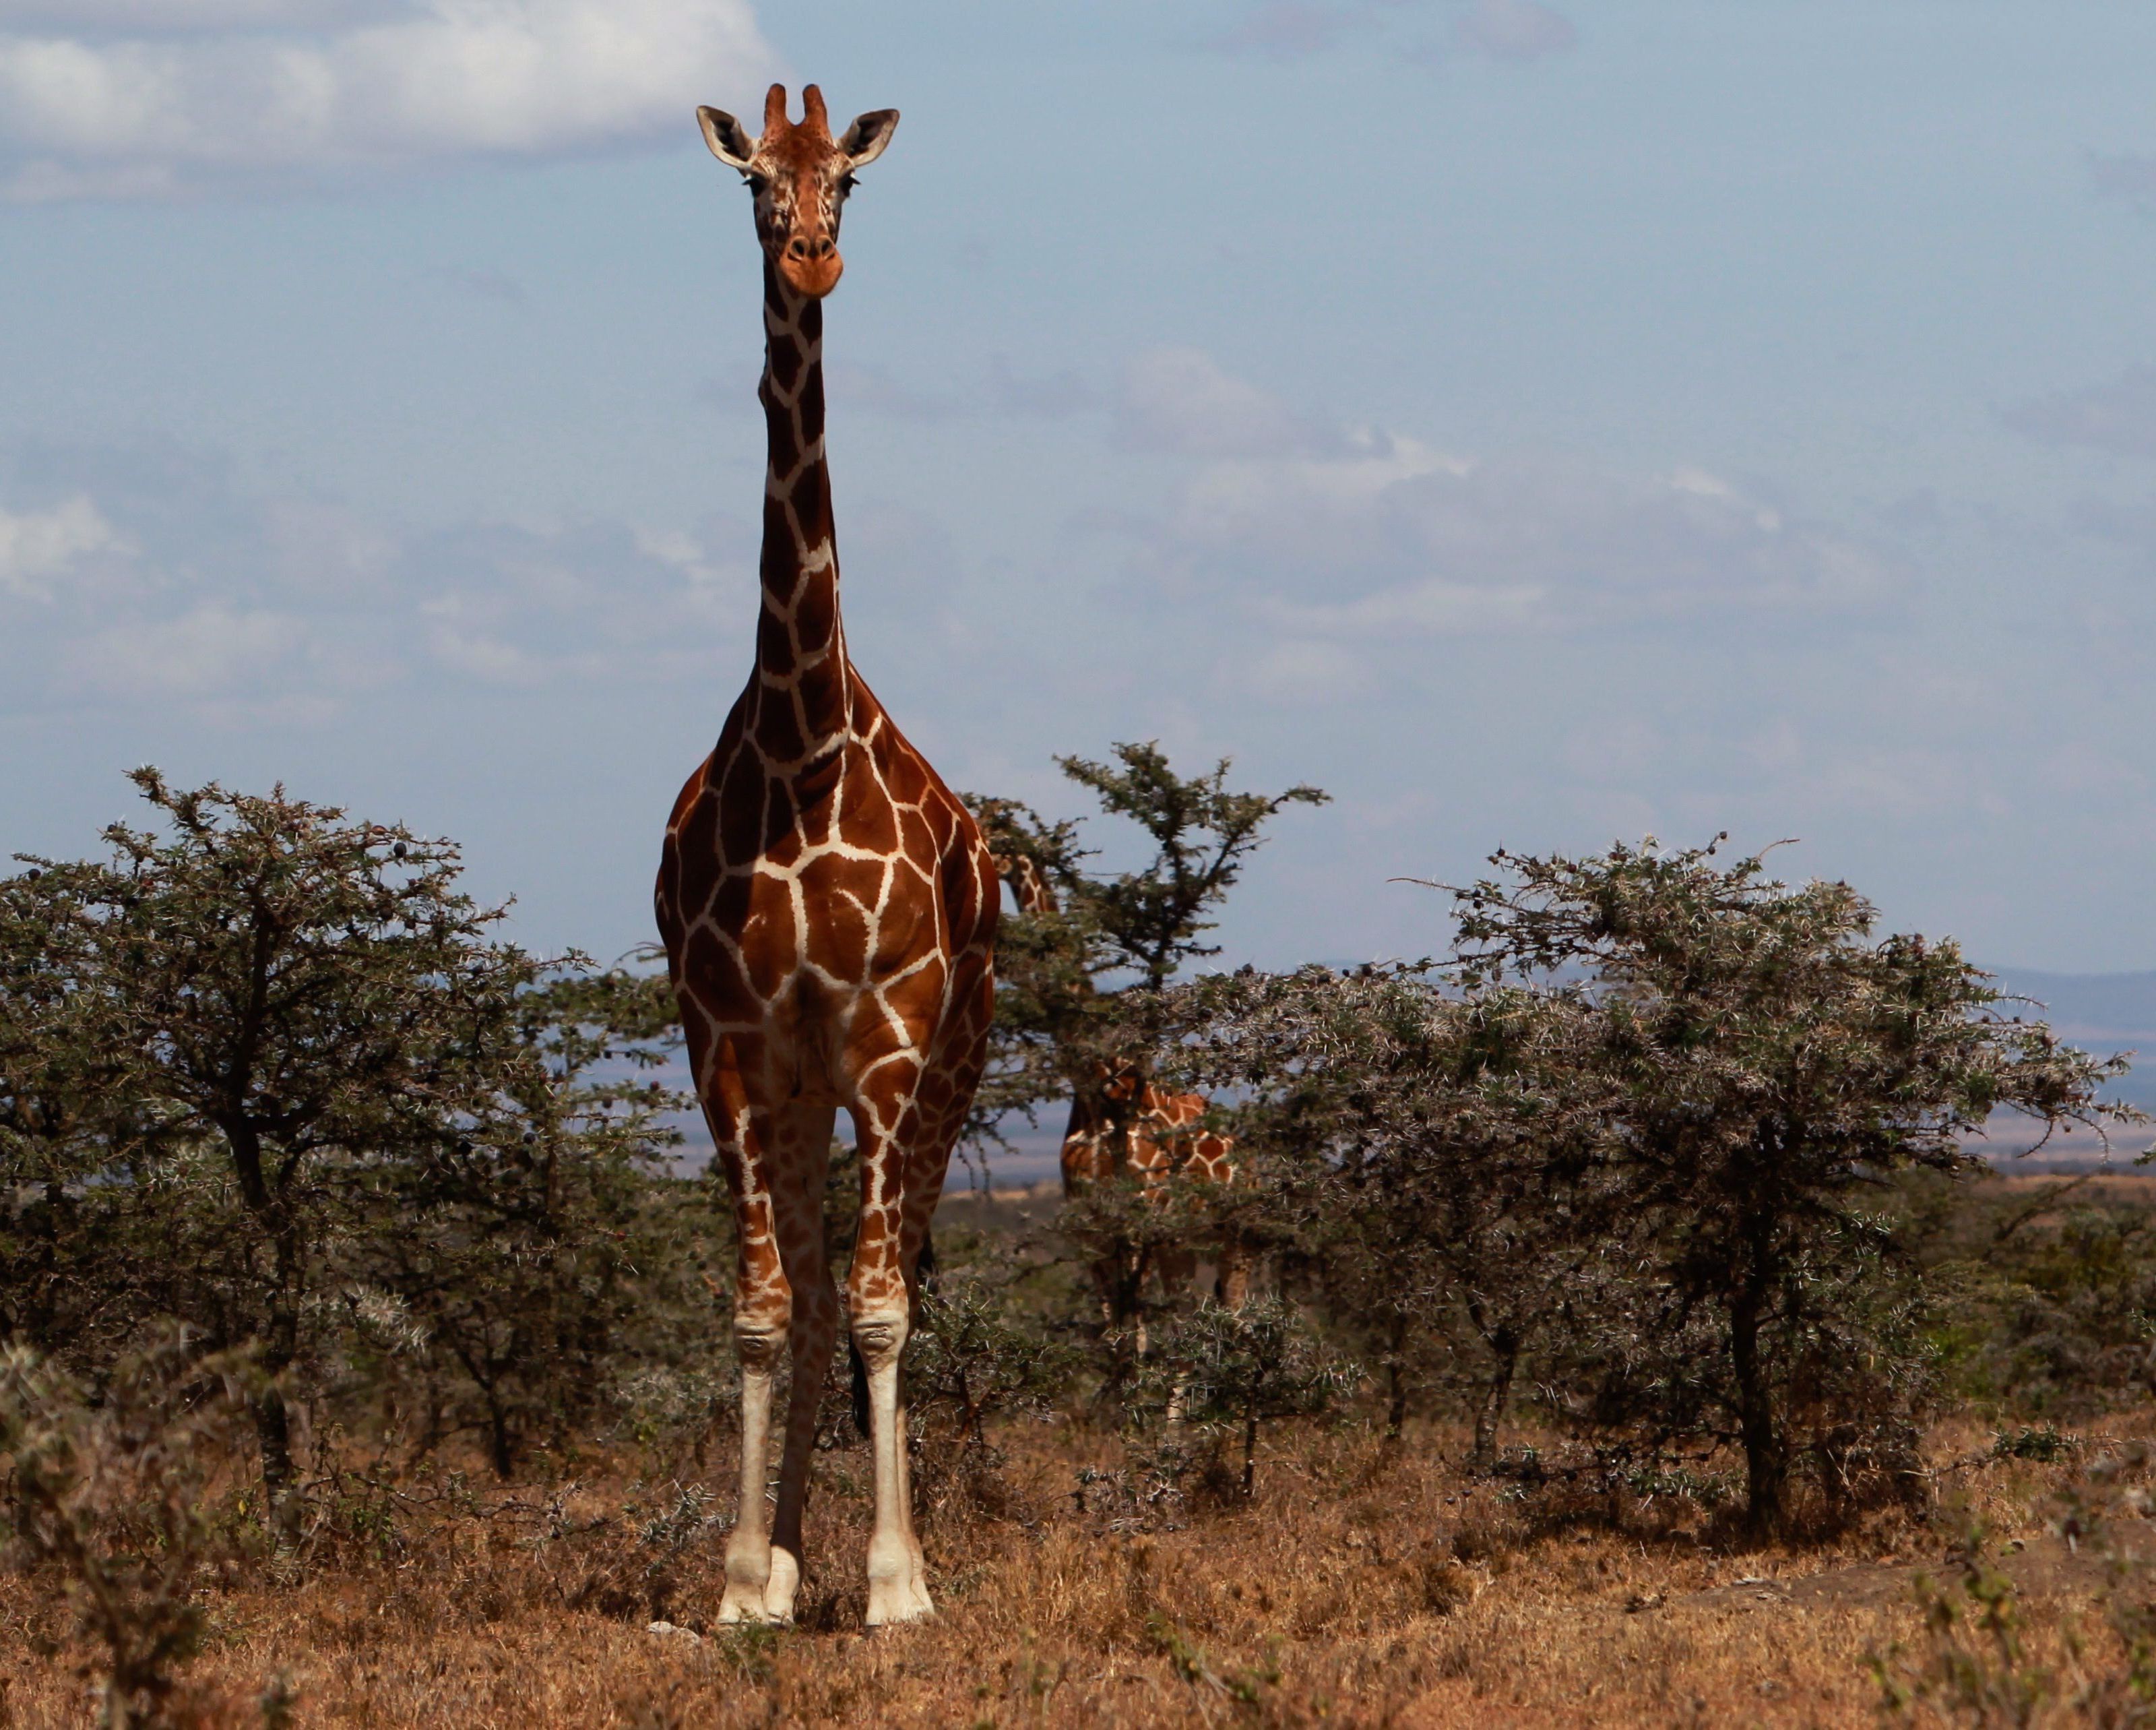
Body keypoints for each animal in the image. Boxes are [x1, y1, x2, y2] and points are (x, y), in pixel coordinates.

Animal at [987, 845, 1250, 1311]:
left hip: (1234, 1238)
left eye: (997, 837)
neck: (1099, 1094)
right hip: (1181, 1244)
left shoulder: (1137, 1222)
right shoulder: (1092, 1233)